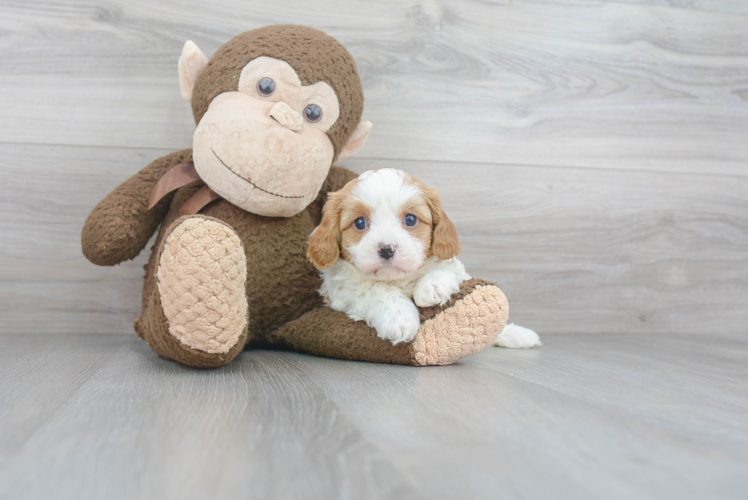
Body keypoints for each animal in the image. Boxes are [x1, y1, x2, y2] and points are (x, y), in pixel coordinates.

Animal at [306, 168, 470, 344]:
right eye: (359, 223)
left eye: (410, 219)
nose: (386, 249)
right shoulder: (341, 292)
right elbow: (377, 288)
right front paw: (398, 317)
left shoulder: (460, 272)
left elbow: (446, 267)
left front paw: (433, 285)